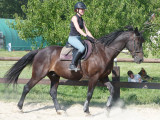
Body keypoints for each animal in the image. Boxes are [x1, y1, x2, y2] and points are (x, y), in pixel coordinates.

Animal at [4, 26, 144, 113]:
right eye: (137, 42)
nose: (141, 59)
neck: (104, 52)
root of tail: (40, 51)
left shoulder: (103, 77)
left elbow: (112, 89)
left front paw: (108, 106)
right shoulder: (94, 77)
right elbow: (89, 93)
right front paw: (86, 110)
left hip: (54, 76)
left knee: (53, 92)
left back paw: (59, 110)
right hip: (38, 74)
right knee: (27, 87)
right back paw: (20, 107)